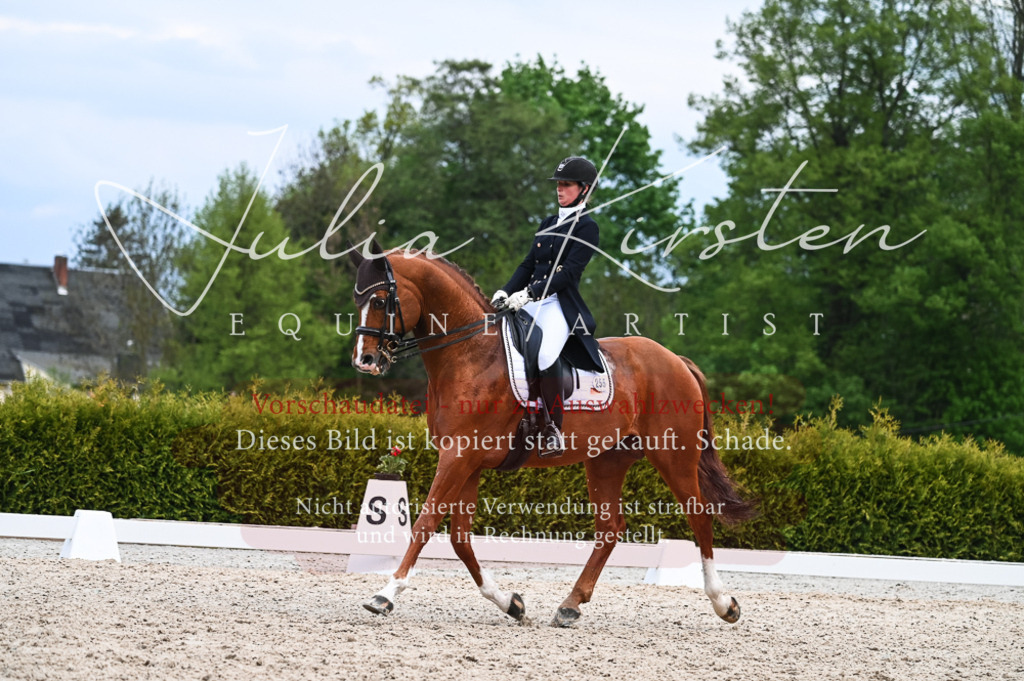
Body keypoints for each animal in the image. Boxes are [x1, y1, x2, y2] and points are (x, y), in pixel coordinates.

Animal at [349, 242, 755, 627]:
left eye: (381, 300)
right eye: (357, 301)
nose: (364, 361)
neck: (470, 355)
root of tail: (676, 360)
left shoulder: (459, 456)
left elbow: (425, 523)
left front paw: (385, 594)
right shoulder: (466, 461)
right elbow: (460, 537)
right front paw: (510, 603)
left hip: (674, 456)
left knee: (699, 517)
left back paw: (724, 604)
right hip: (607, 460)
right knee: (610, 528)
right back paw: (570, 606)